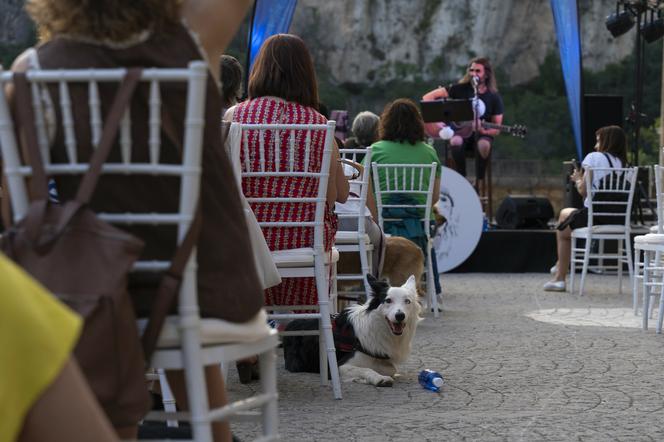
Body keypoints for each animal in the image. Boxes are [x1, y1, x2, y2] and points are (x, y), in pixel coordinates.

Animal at [284, 274, 420, 386]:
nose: (400, 315)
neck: (377, 327)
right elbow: (366, 369)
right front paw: (378, 378)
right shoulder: (338, 366)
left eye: (407, 301)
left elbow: (390, 368)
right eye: (388, 300)